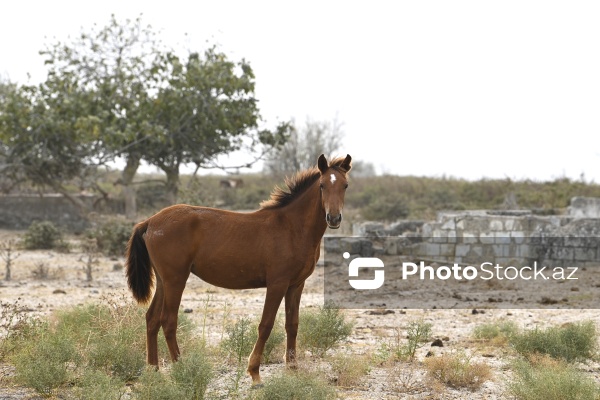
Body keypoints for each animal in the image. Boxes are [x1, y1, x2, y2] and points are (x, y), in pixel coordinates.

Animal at [126, 153, 352, 384]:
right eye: (322, 185)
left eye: (345, 185)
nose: (334, 218)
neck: (292, 228)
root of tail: (150, 222)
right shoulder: (277, 284)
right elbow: (266, 324)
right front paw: (255, 373)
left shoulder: (296, 285)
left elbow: (292, 324)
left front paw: (292, 369)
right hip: (175, 280)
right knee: (168, 321)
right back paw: (182, 369)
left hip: (164, 281)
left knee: (152, 319)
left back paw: (153, 371)